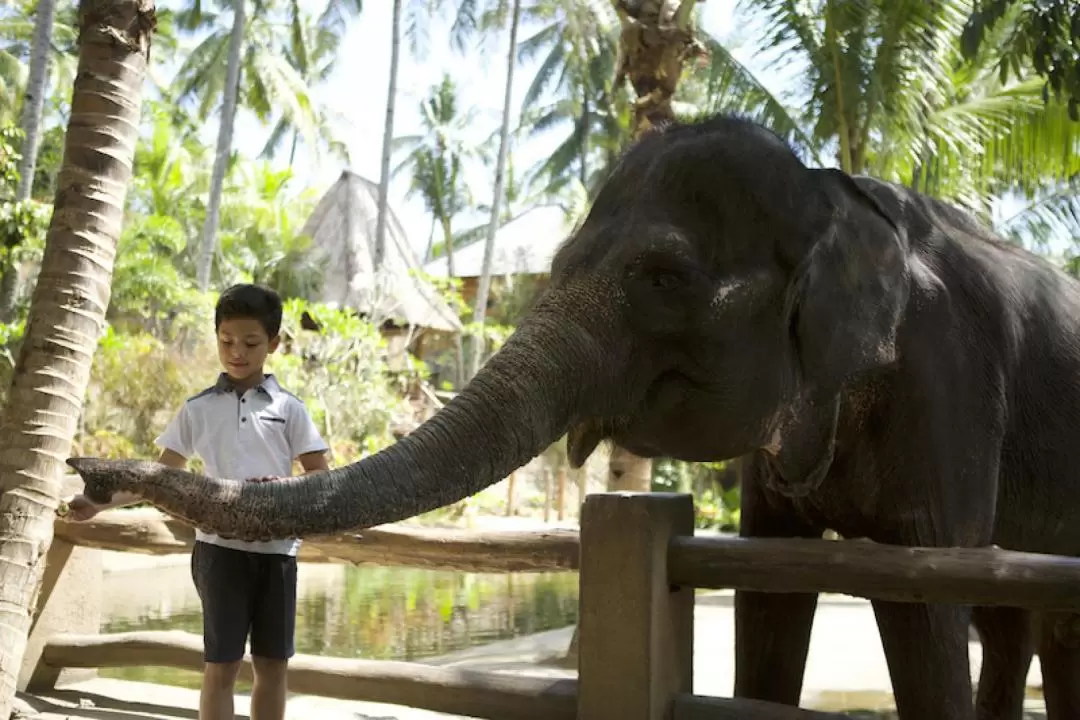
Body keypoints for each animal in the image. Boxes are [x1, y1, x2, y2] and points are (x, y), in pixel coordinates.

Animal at [71, 115, 1080, 720]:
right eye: (555, 261)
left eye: (664, 278)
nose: (85, 476)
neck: (839, 190)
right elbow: (769, 592)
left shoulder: (949, 391)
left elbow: (925, 594)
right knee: (1023, 623)